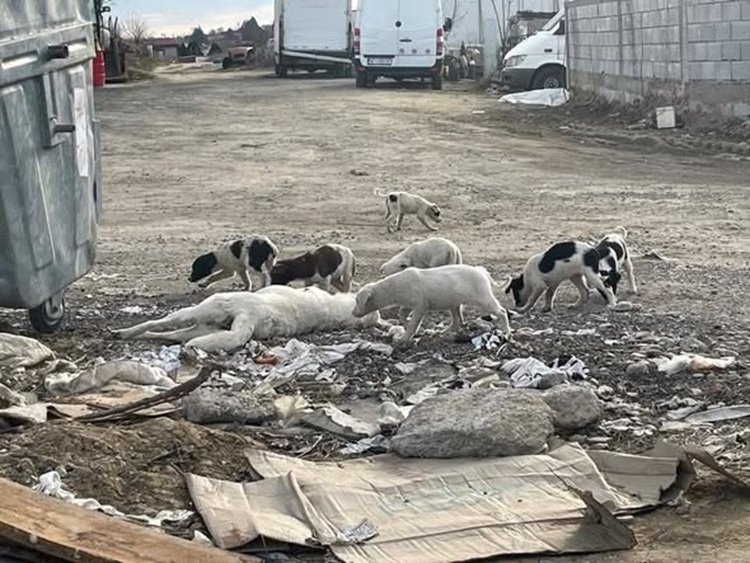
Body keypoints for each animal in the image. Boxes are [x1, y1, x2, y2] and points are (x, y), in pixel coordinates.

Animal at [353, 264, 511, 344]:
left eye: (357, 300)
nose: (353, 313)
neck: (395, 286)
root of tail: (482, 271)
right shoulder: (409, 304)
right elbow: (401, 314)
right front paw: (409, 327)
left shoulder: (420, 306)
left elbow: (413, 323)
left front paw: (403, 339)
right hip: (454, 303)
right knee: (456, 321)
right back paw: (444, 332)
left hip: (483, 297)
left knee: (502, 311)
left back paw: (507, 332)